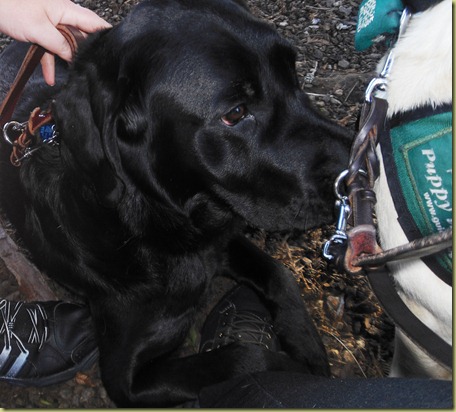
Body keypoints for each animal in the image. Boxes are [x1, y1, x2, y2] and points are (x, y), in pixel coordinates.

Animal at [0, 0, 351, 406]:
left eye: (293, 75)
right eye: (235, 113)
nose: (361, 168)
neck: (157, 219)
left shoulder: (218, 242)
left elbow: (280, 275)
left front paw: (307, 344)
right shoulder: (124, 378)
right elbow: (243, 358)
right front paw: (295, 374)